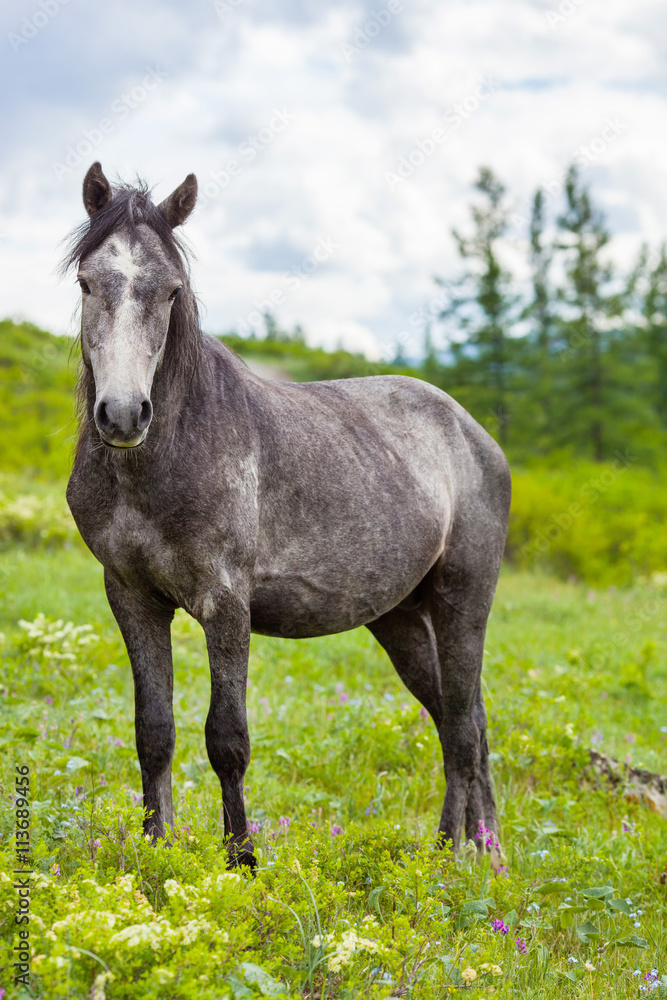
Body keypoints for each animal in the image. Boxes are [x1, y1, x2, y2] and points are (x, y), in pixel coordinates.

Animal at [64, 164, 512, 868]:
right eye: (87, 281)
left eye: (170, 290)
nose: (123, 414)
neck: (160, 460)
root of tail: (473, 433)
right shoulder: (132, 596)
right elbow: (153, 730)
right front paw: (157, 852)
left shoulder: (226, 603)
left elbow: (227, 737)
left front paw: (241, 860)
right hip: (401, 619)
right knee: (458, 718)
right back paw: (478, 851)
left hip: (462, 600)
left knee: (463, 728)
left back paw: (452, 856)